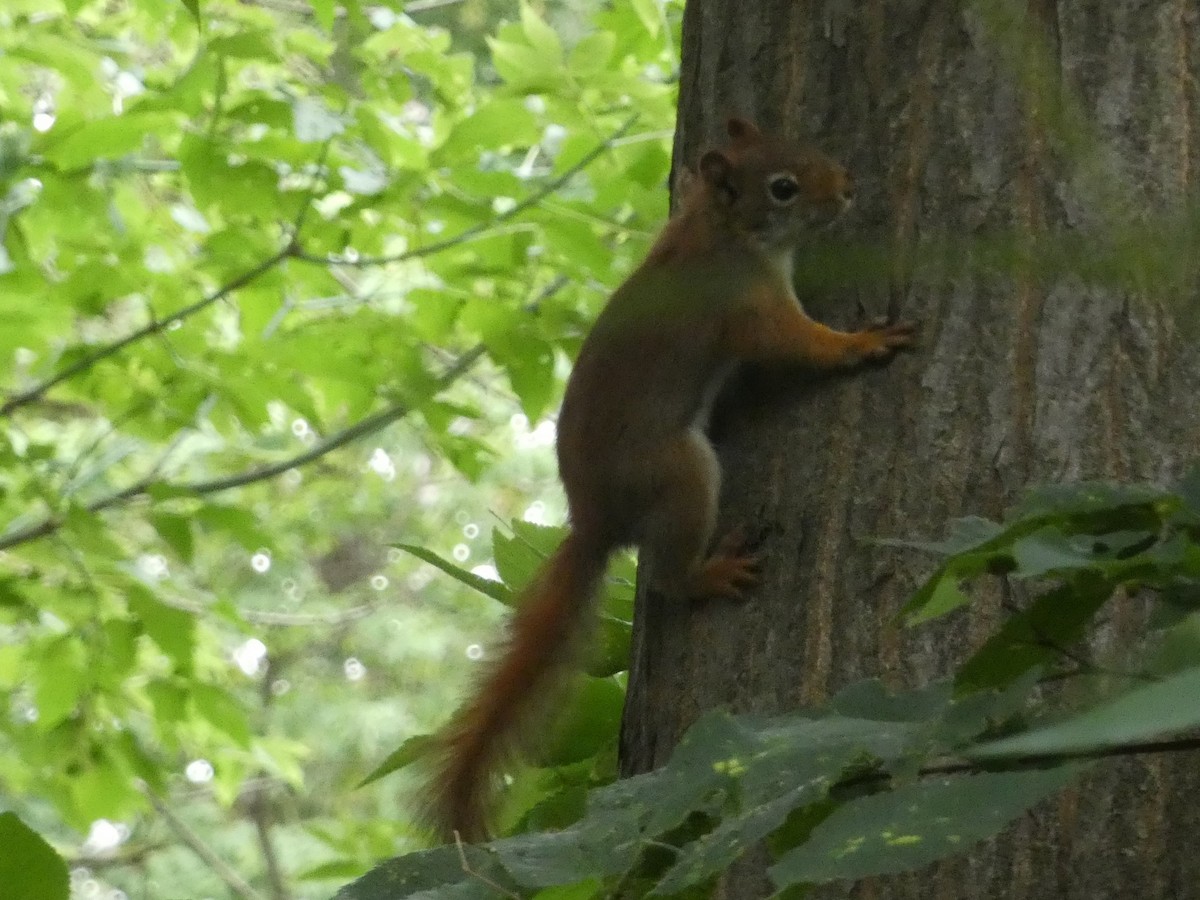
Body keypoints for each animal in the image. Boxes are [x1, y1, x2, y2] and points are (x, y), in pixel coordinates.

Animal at [423, 117, 916, 841]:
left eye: (806, 148)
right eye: (784, 187)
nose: (848, 188)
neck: (720, 230)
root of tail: (596, 521)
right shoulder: (748, 309)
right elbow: (798, 345)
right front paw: (860, 343)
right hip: (682, 472)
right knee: (666, 578)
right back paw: (711, 573)